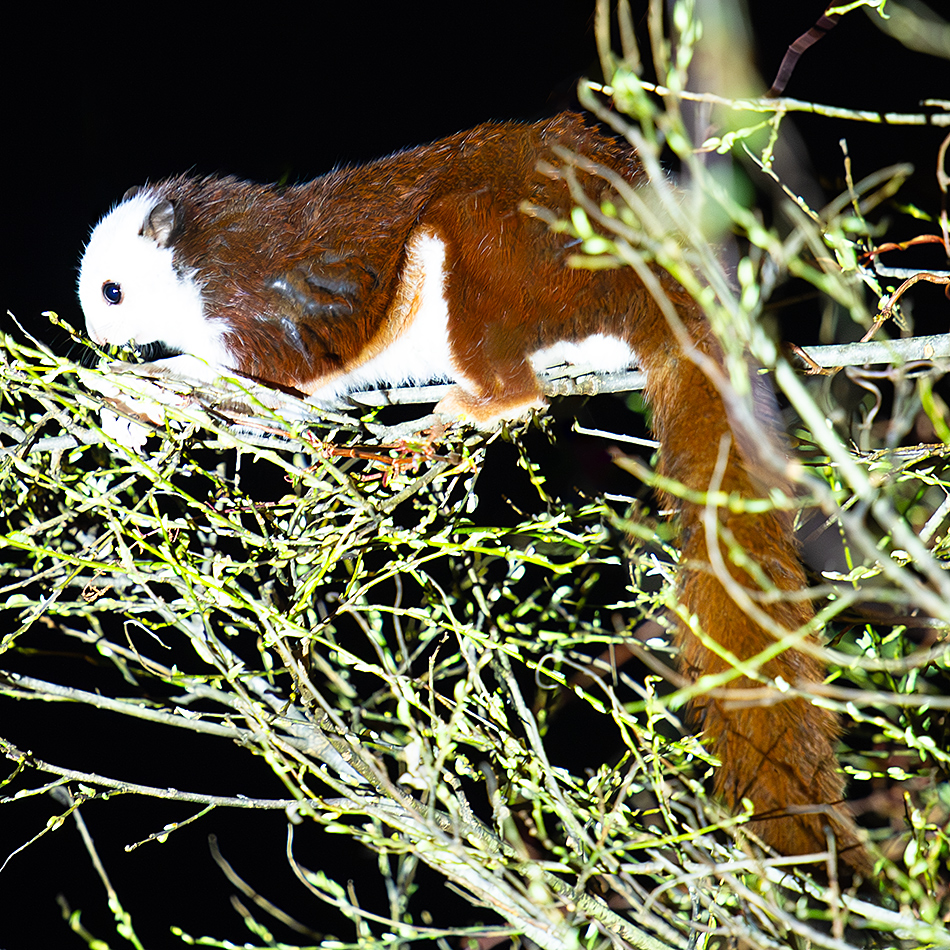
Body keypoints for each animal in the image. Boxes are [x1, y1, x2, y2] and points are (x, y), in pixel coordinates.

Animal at [78, 111, 872, 876]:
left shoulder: (263, 309)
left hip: (481, 250)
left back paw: (443, 416)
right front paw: (128, 410)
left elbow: (263, 378)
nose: (93, 334)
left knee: (512, 387)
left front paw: (130, 389)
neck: (207, 263)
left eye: (111, 290)